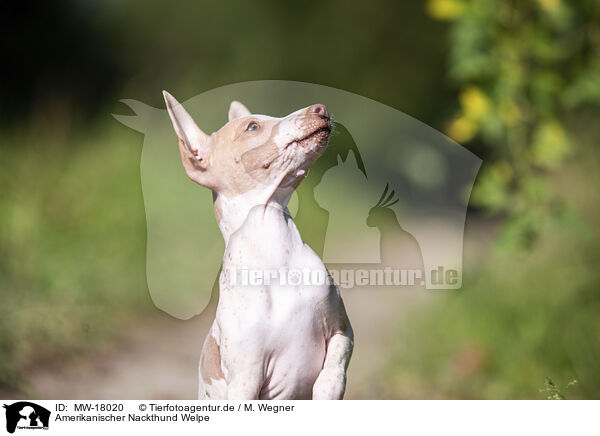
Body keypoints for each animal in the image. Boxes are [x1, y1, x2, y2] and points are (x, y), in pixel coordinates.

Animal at [162, 91, 354, 398]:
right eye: (252, 127)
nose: (321, 109)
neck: (275, 248)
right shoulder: (245, 380)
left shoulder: (342, 330)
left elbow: (332, 371)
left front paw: (327, 391)